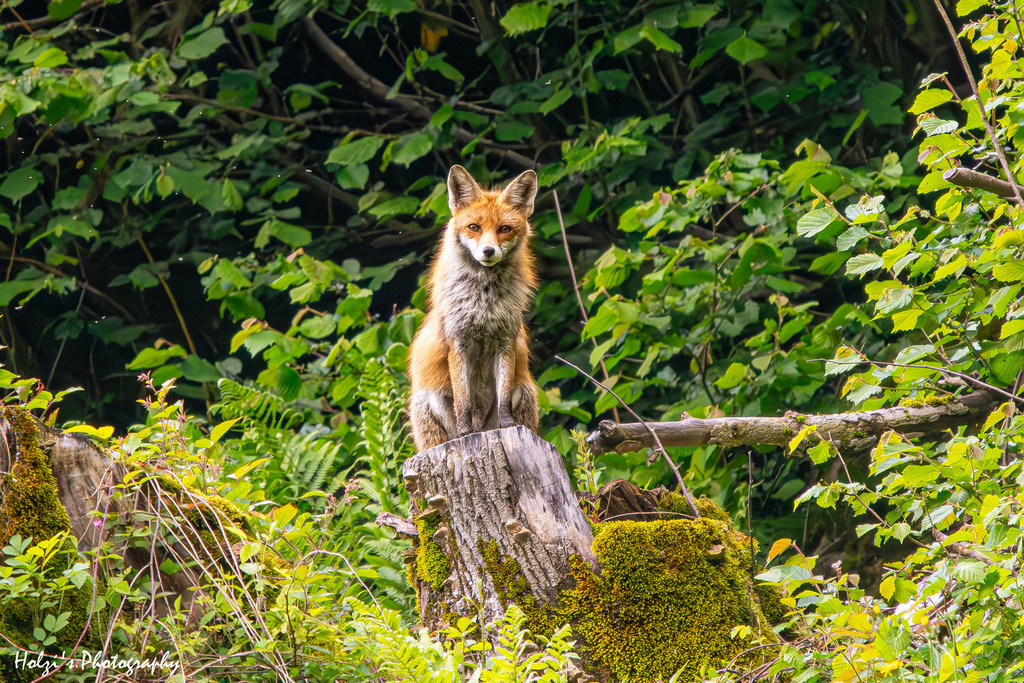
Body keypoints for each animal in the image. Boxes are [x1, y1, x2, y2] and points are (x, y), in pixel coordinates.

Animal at [407, 165, 540, 451]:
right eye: (474, 227)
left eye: (504, 229)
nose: (489, 251)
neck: (484, 304)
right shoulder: (457, 343)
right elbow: (463, 400)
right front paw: (466, 432)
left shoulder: (505, 341)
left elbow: (503, 395)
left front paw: (507, 424)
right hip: (428, 402)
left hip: (526, 392)